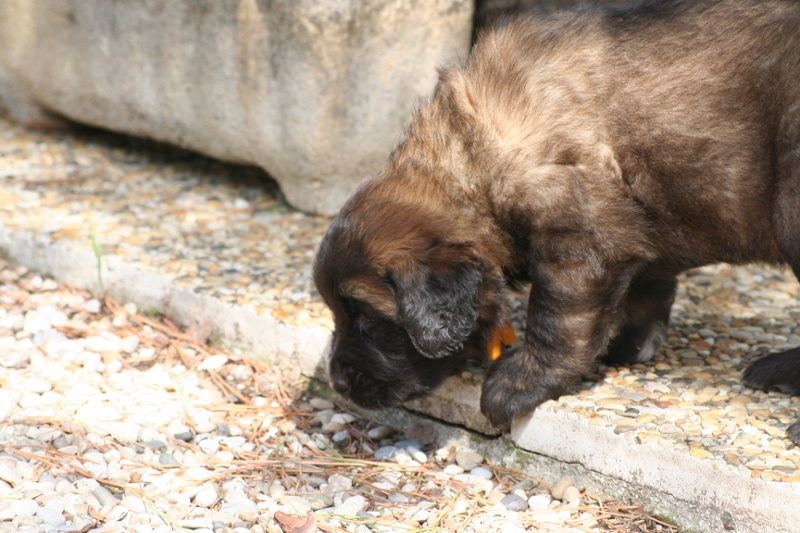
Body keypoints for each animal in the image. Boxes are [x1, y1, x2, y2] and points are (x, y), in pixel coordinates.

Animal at [314, 0, 800, 444]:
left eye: (367, 318)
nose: (336, 382)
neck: (470, 164)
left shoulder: (579, 237)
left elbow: (558, 320)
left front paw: (518, 384)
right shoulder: (634, 225)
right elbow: (646, 284)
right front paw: (629, 341)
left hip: (790, 206)